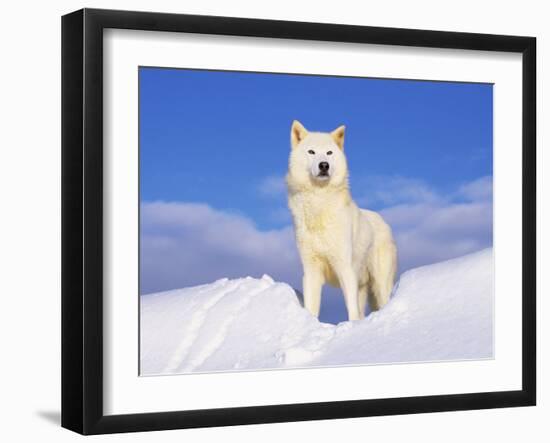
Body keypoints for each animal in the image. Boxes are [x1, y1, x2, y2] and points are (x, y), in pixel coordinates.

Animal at [286, 120, 398, 322]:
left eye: (329, 153)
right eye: (311, 152)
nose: (324, 165)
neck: (319, 204)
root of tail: (383, 220)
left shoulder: (345, 267)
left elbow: (351, 309)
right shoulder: (311, 271)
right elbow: (311, 308)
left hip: (380, 285)